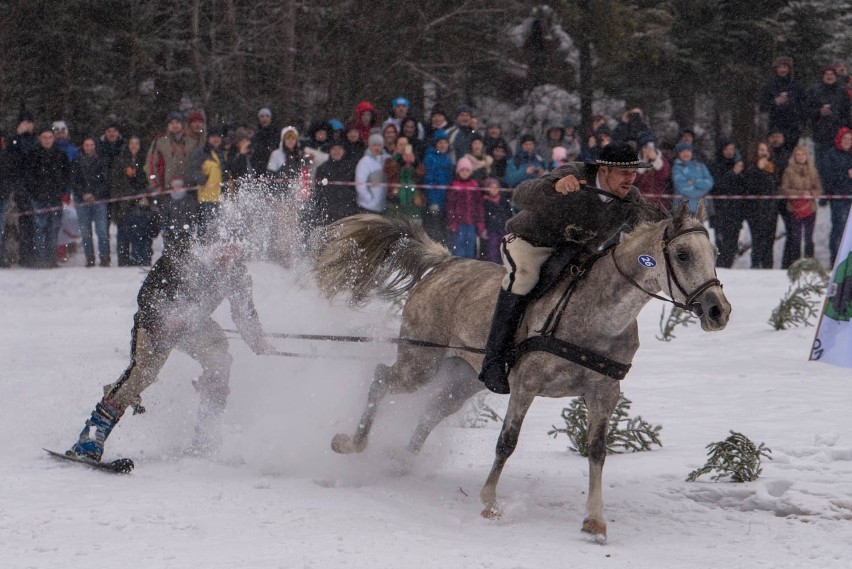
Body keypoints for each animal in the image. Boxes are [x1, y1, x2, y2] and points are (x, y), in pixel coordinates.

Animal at [314, 203, 732, 540]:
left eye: (713, 252)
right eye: (682, 254)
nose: (719, 311)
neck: (596, 316)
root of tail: (445, 263)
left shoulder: (604, 393)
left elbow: (597, 452)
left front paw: (595, 521)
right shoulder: (526, 386)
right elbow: (507, 442)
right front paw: (489, 502)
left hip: (461, 379)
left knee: (432, 412)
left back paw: (400, 462)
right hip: (419, 363)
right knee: (381, 379)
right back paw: (351, 444)